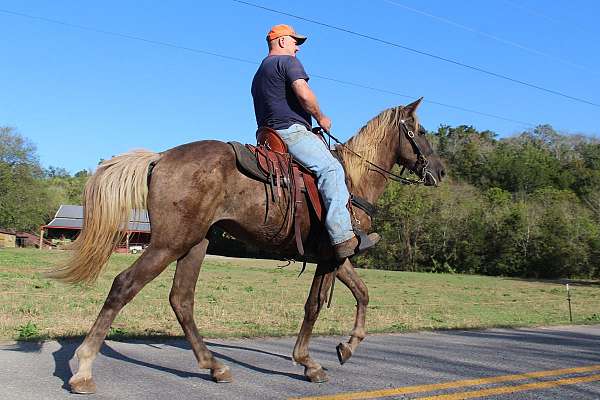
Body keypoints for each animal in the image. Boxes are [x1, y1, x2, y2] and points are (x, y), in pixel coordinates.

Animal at [51, 98, 442, 392]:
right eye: (420, 131)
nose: (439, 172)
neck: (352, 181)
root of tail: (161, 157)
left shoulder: (335, 258)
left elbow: (361, 293)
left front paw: (347, 346)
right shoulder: (334, 255)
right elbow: (315, 306)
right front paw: (309, 362)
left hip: (194, 243)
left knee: (181, 300)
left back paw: (214, 366)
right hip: (169, 243)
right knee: (125, 286)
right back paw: (83, 370)